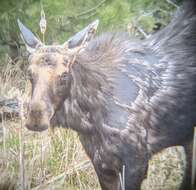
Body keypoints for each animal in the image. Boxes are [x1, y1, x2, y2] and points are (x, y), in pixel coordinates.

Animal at [17, 0, 195, 189]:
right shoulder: (101, 162)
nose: (35, 118)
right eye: (29, 73)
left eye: (64, 75)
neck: (86, 120)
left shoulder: (136, 160)